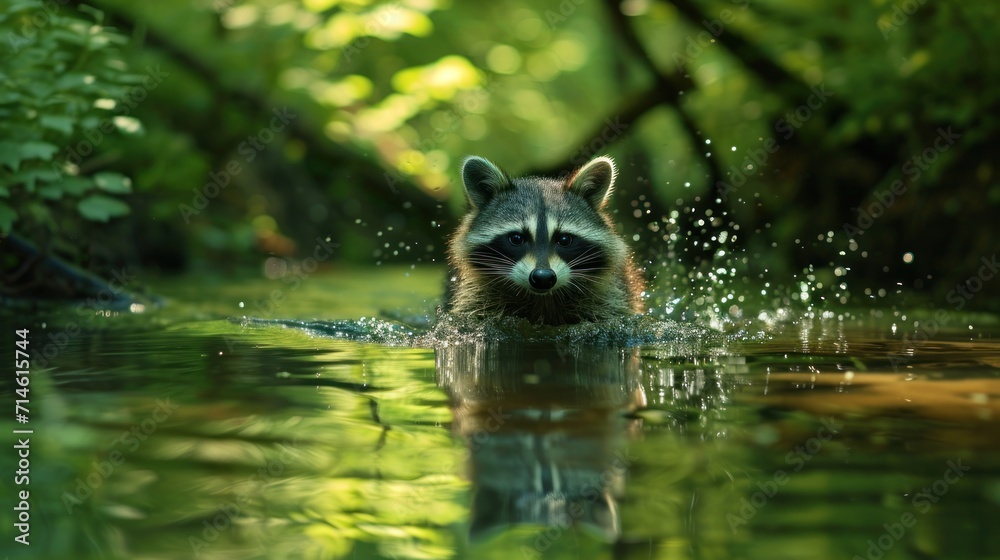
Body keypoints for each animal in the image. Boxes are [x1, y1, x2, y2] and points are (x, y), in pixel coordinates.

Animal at [443, 155, 644, 325]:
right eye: (517, 238)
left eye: (564, 239)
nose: (543, 277)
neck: (542, 299)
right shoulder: (477, 297)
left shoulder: (610, 297)